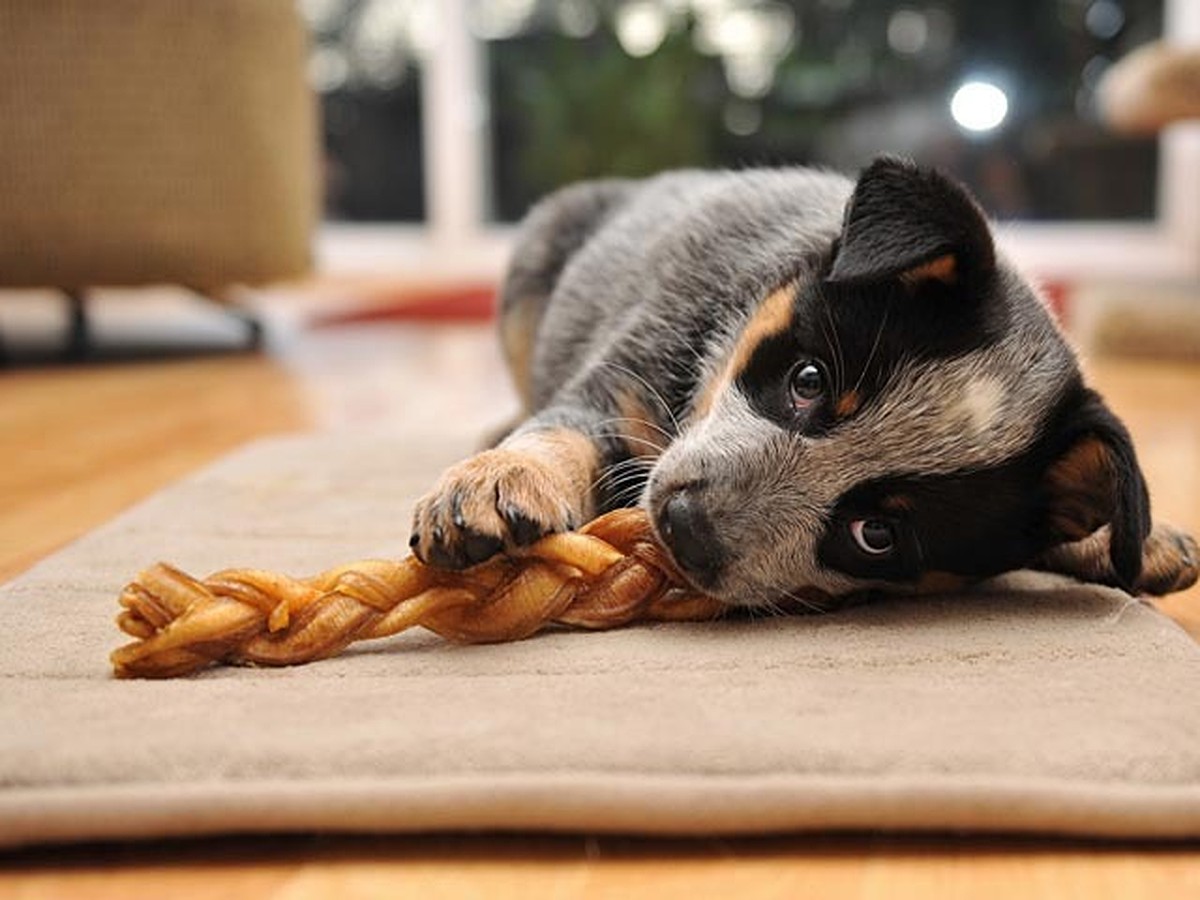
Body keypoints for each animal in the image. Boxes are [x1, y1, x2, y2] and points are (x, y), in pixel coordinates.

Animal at [410, 157, 1190, 607]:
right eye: (808, 379)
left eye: (876, 534)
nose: (684, 525)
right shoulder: (620, 382)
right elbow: (561, 431)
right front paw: (497, 480)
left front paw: (1130, 543)